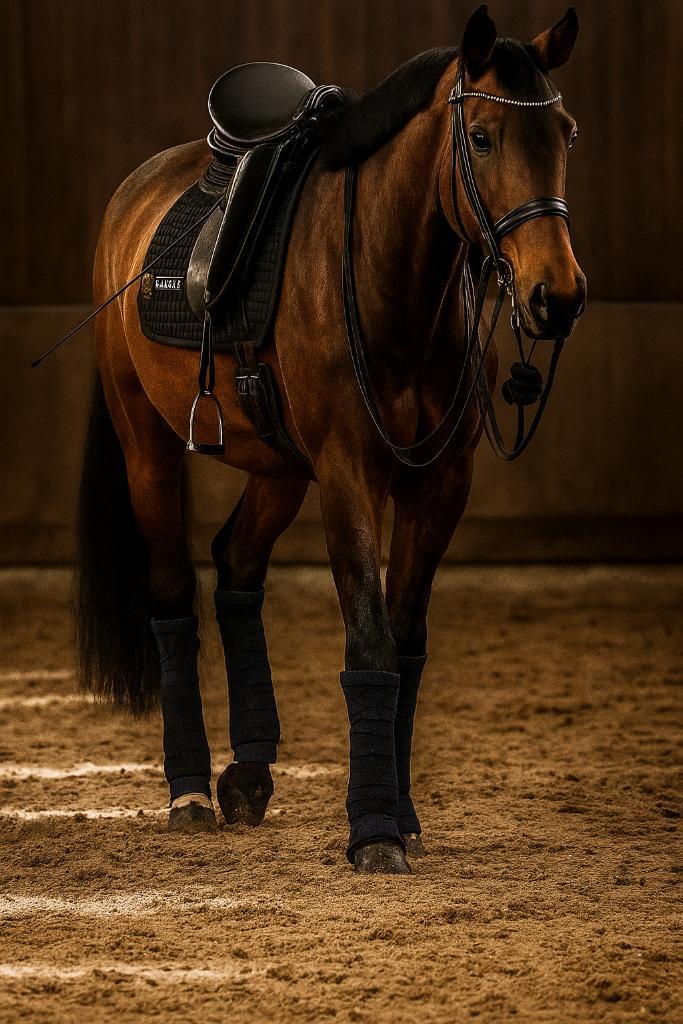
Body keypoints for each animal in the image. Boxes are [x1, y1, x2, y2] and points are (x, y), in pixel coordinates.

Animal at [77, 4, 586, 874]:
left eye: (563, 132)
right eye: (481, 138)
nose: (556, 296)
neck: (395, 288)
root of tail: (131, 197)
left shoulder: (439, 486)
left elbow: (407, 645)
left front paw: (400, 815)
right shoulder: (349, 476)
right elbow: (370, 641)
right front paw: (373, 830)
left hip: (279, 467)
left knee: (236, 566)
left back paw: (247, 773)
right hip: (146, 443)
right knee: (173, 595)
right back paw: (189, 792)